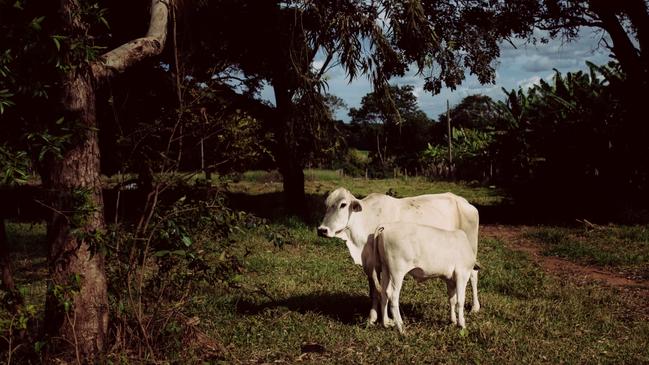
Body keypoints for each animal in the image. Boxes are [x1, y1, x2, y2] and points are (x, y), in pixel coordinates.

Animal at [316, 186, 478, 322]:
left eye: (343, 204)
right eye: (326, 205)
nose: (322, 230)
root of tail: (462, 201)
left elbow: (383, 291)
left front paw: (386, 318)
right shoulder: (371, 265)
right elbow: (375, 291)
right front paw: (373, 318)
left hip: (471, 250)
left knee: (473, 275)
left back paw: (475, 307)